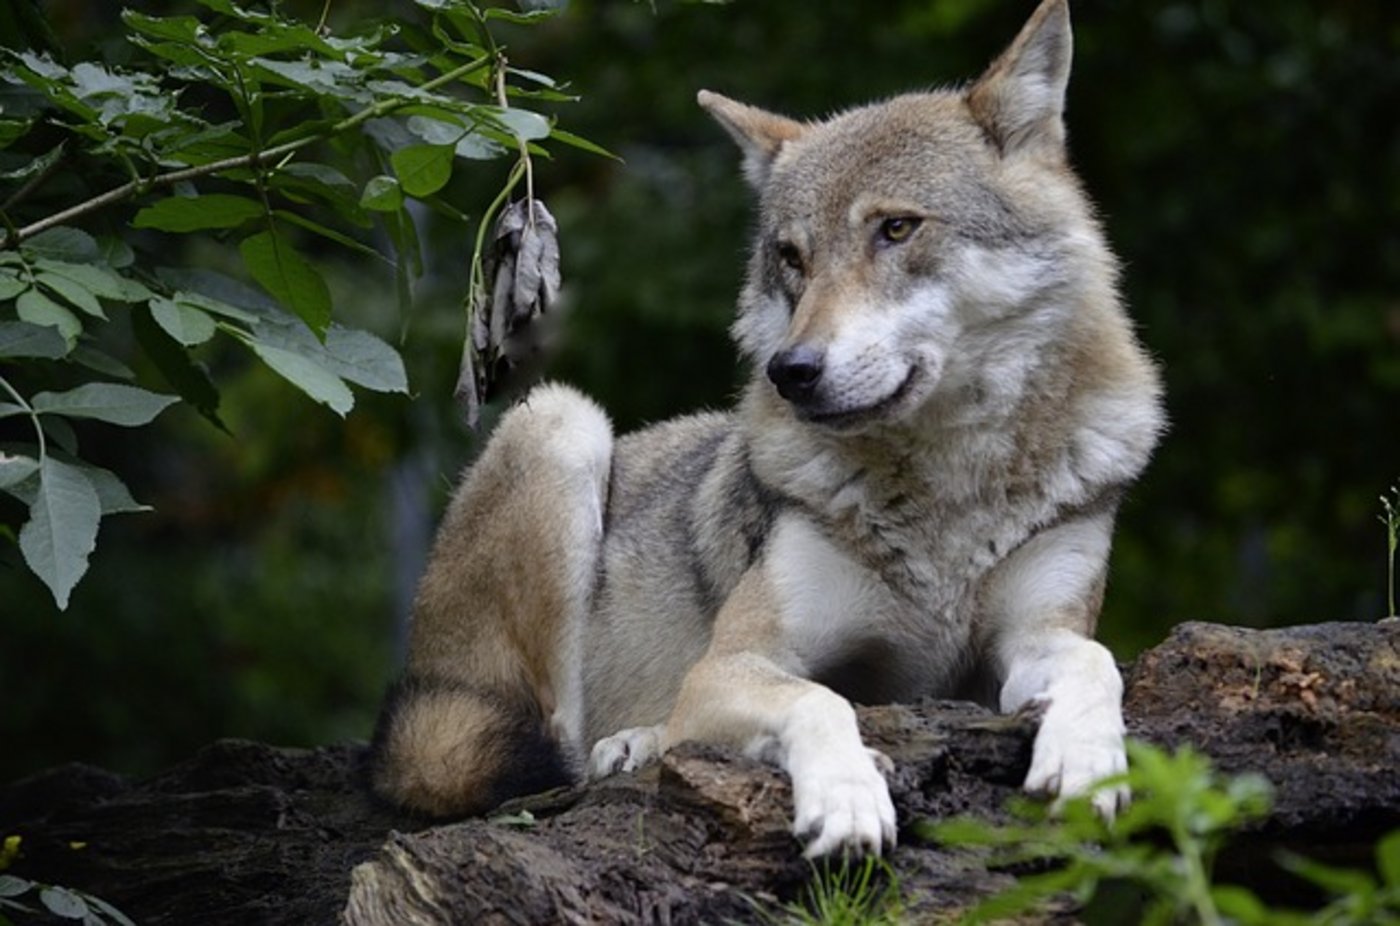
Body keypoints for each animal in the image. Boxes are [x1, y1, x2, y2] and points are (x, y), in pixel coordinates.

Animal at [370, 0, 1164, 858]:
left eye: (895, 229)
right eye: (791, 256)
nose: (793, 370)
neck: (946, 490)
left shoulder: (1026, 643)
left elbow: (1097, 661)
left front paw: (1088, 762)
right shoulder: (736, 662)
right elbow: (822, 700)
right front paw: (847, 798)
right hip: (560, 421)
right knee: (563, 744)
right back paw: (636, 742)